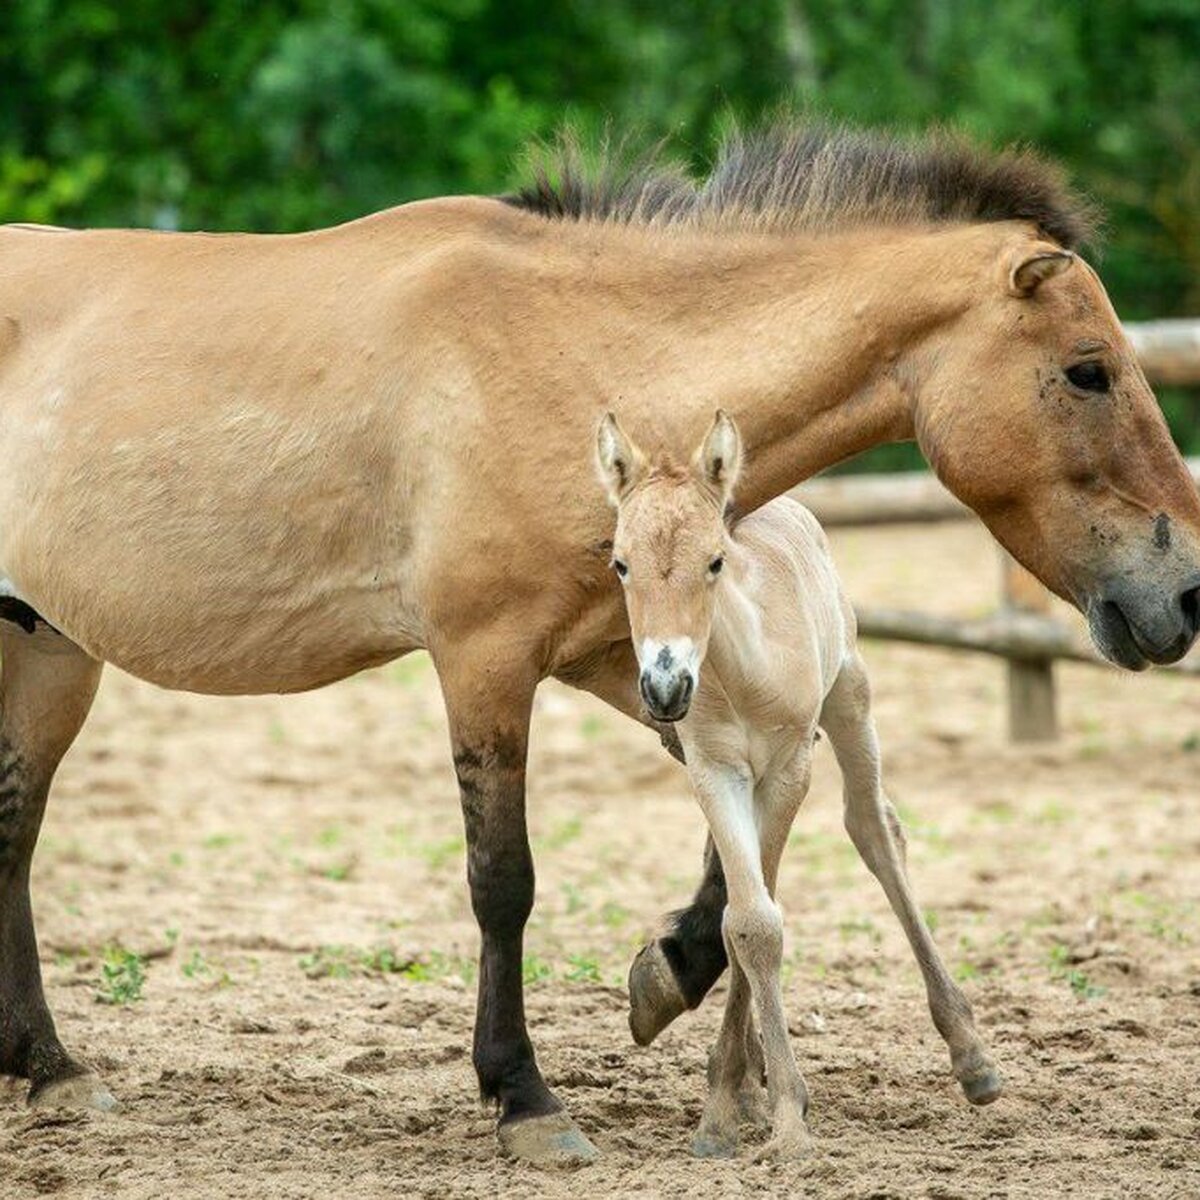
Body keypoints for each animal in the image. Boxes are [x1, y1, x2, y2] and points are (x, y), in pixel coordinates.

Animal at [595, 412, 998, 1161]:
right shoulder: (713, 769)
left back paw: (973, 1057)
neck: (741, 670)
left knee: (875, 831)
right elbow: (748, 923)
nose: (665, 687)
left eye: (714, 562)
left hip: (850, 697)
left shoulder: (788, 767)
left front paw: (786, 1119)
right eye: (621, 564)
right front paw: (725, 1111)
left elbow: (761, 920)